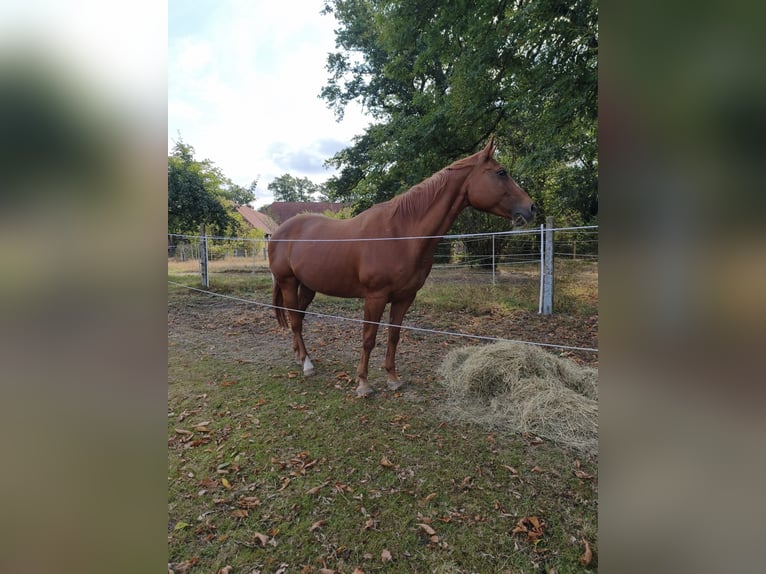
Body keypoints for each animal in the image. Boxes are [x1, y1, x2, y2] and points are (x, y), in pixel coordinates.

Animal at [267, 137, 535, 397]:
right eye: (501, 172)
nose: (531, 208)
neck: (401, 233)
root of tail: (278, 232)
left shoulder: (405, 297)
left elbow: (394, 336)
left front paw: (393, 379)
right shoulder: (375, 297)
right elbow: (369, 338)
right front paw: (363, 383)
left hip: (308, 286)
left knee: (298, 317)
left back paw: (300, 356)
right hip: (288, 282)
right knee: (295, 320)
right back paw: (306, 364)